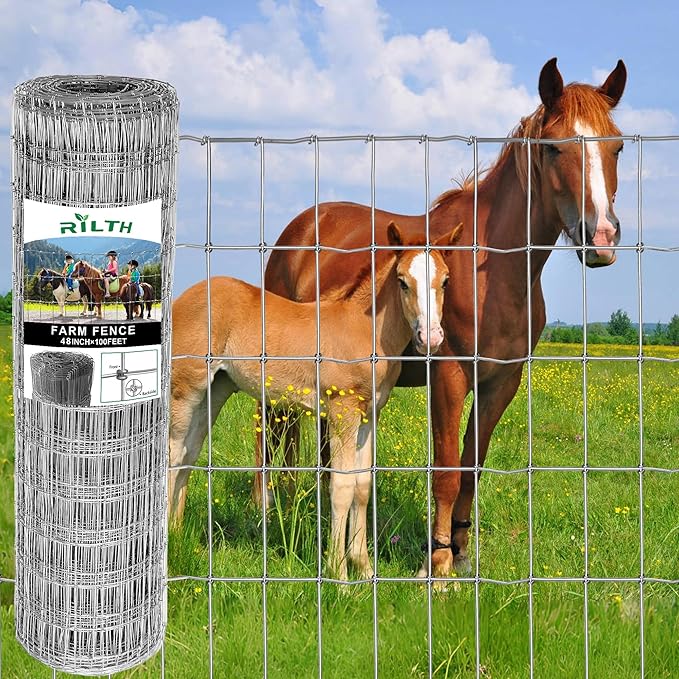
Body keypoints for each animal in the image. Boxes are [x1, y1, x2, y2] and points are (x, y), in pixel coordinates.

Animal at [170, 221, 463, 579]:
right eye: (402, 281)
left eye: (445, 280)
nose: (429, 337)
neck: (364, 328)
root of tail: (183, 298)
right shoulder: (342, 413)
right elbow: (341, 487)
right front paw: (339, 573)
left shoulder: (369, 416)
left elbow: (362, 486)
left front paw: (365, 569)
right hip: (186, 389)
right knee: (173, 454)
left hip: (216, 389)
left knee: (190, 453)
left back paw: (177, 531)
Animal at [256, 58, 627, 579]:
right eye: (554, 147)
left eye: (616, 146)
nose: (602, 238)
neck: (487, 266)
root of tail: (298, 230)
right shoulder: (449, 375)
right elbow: (447, 471)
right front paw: (437, 564)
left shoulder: (500, 382)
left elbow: (472, 465)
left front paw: (463, 550)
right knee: (271, 439)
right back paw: (271, 511)